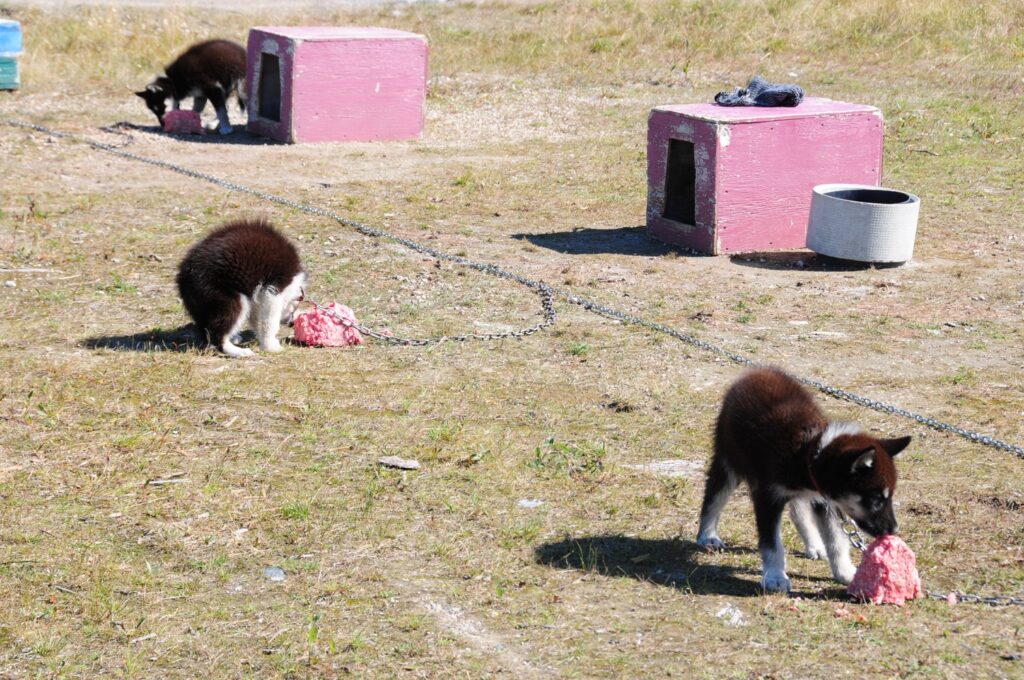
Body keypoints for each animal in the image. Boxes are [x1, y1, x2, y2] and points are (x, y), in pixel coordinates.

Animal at [177, 219, 303, 358]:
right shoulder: (272, 291)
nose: (292, 323)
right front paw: (270, 346)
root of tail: (184, 275)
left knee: (208, 330)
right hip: (228, 298)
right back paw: (238, 351)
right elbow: (269, 321)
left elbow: (257, 319)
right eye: (296, 305)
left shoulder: (258, 296)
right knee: (217, 336)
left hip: (205, 304)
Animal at [696, 364, 913, 593]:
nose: (894, 530)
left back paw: (814, 545)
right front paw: (775, 577)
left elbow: (836, 540)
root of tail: (757, 370)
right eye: (876, 499)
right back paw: (708, 535)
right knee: (713, 498)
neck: (808, 453)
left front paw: (845, 572)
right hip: (728, 459)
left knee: (798, 510)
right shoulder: (768, 496)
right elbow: (772, 544)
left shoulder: (824, 501)